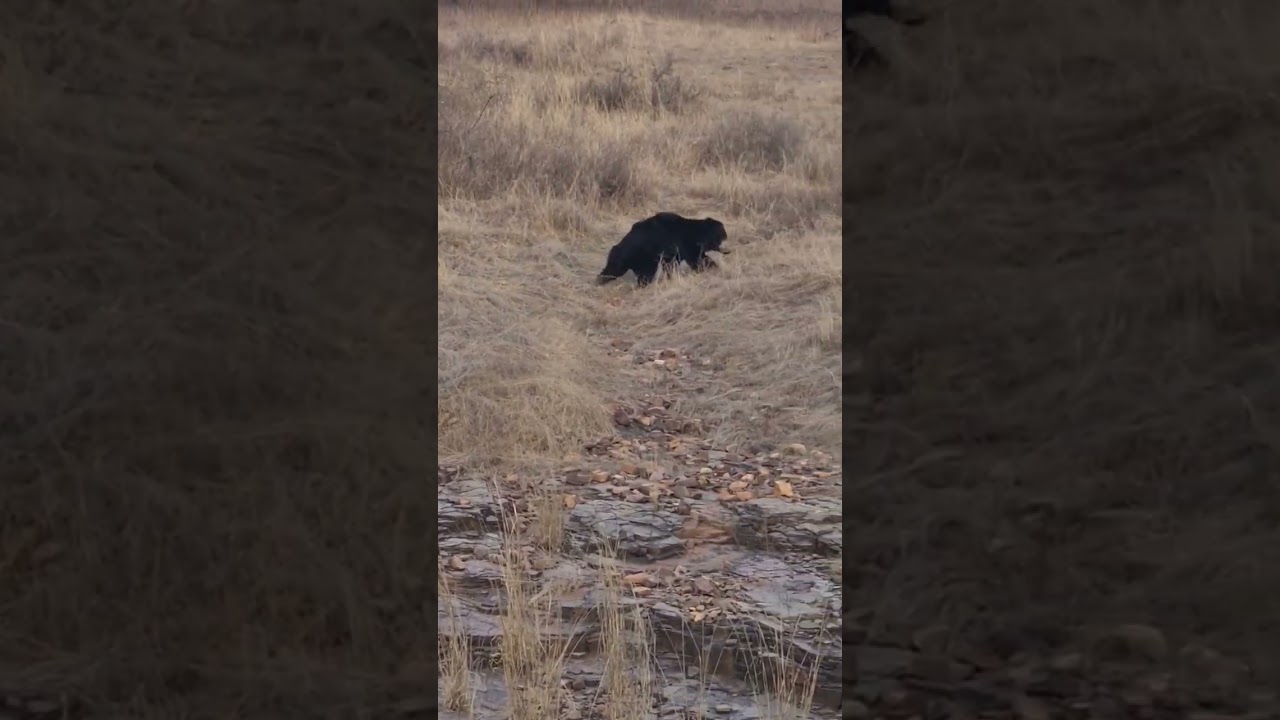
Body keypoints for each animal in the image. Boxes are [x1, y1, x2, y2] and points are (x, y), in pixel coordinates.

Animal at [597, 212, 731, 287]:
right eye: (722, 237)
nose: (728, 250)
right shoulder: (685, 246)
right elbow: (697, 260)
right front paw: (712, 267)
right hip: (635, 259)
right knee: (616, 270)